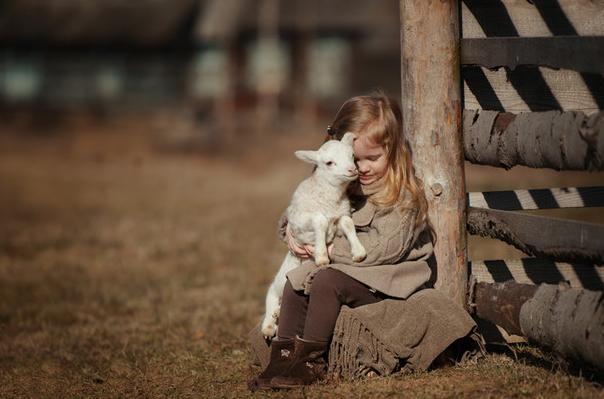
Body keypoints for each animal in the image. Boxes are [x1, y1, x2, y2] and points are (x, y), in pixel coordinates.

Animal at [260, 133, 366, 340]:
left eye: (352, 156)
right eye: (329, 163)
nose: (352, 170)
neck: (330, 199)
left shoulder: (341, 214)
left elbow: (348, 224)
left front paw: (358, 252)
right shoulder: (299, 222)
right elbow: (320, 221)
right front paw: (322, 256)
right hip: (278, 284)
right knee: (270, 297)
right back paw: (269, 325)